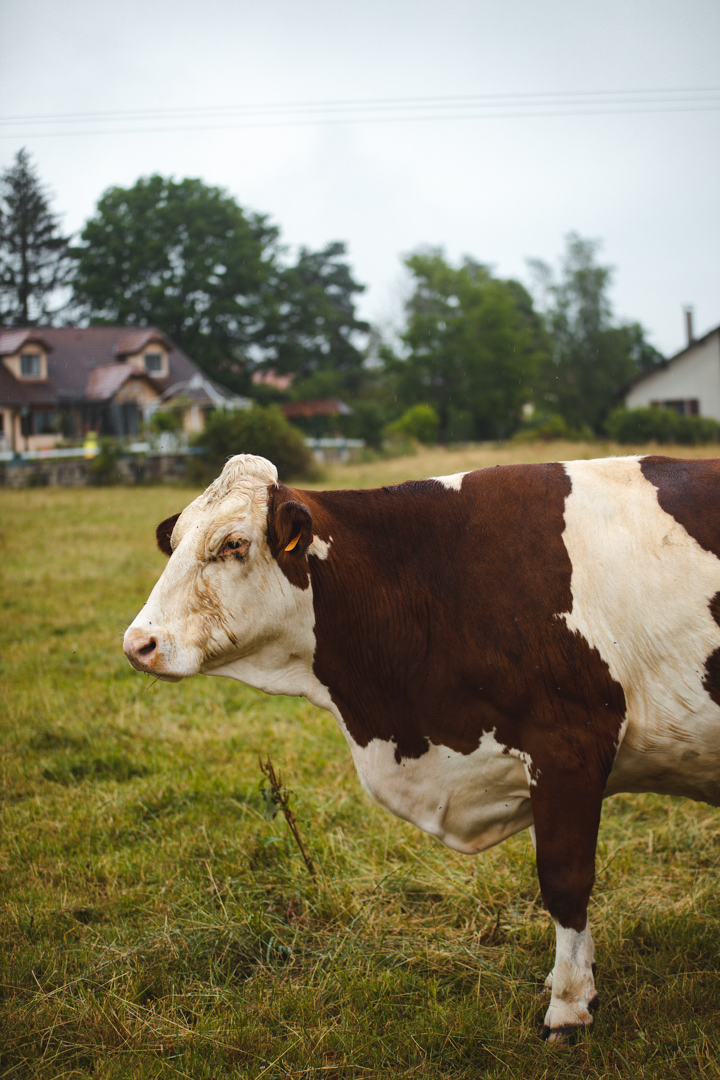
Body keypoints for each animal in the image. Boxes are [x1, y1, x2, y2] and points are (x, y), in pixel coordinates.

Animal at [124, 451, 720, 1041]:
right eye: (175, 541)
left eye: (233, 543)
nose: (138, 644)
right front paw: (574, 982)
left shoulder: (569, 745)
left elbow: (565, 880)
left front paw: (569, 1009)